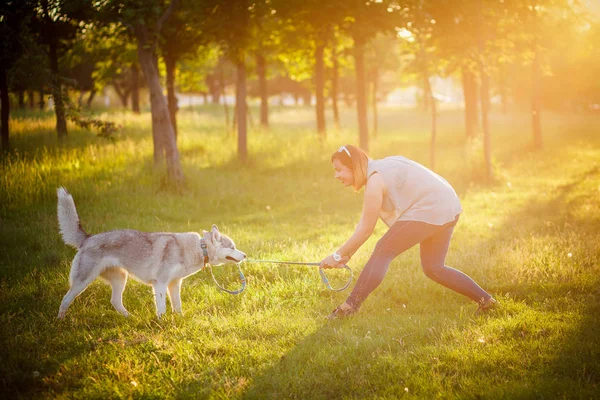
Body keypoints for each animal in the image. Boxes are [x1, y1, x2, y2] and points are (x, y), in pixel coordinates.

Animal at [55, 188, 245, 318]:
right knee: (65, 299)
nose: (245, 256)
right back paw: (60, 321)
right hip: (83, 281)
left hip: (120, 279)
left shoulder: (174, 284)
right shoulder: (160, 284)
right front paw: (162, 323)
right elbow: (162, 308)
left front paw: (179, 320)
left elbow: (177, 307)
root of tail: (87, 238)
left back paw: (130, 318)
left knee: (115, 301)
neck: (198, 247)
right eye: (233, 247)